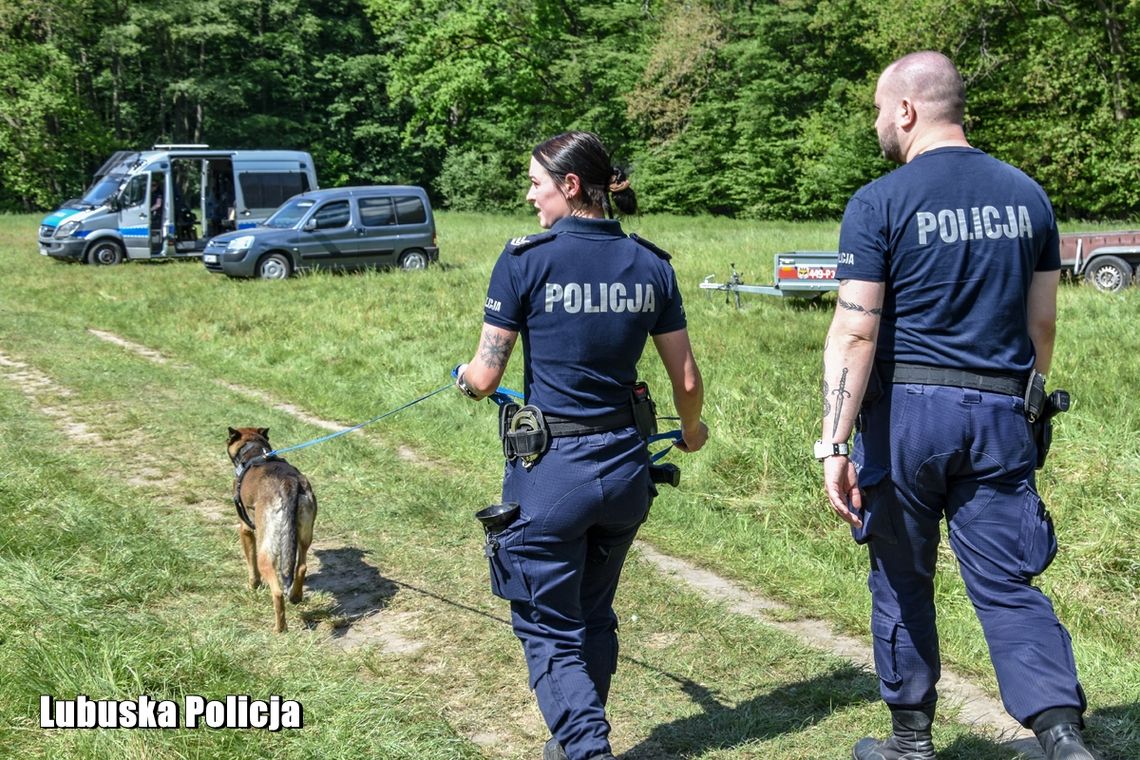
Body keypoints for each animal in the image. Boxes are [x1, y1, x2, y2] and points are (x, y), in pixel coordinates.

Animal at [226, 426, 316, 633]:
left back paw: (279, 628)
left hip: (267, 550)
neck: (255, 451)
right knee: (301, 566)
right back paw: (296, 597)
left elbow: (251, 565)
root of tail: (289, 483)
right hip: (304, 535)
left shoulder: (245, 530)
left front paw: (253, 585)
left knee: (277, 591)